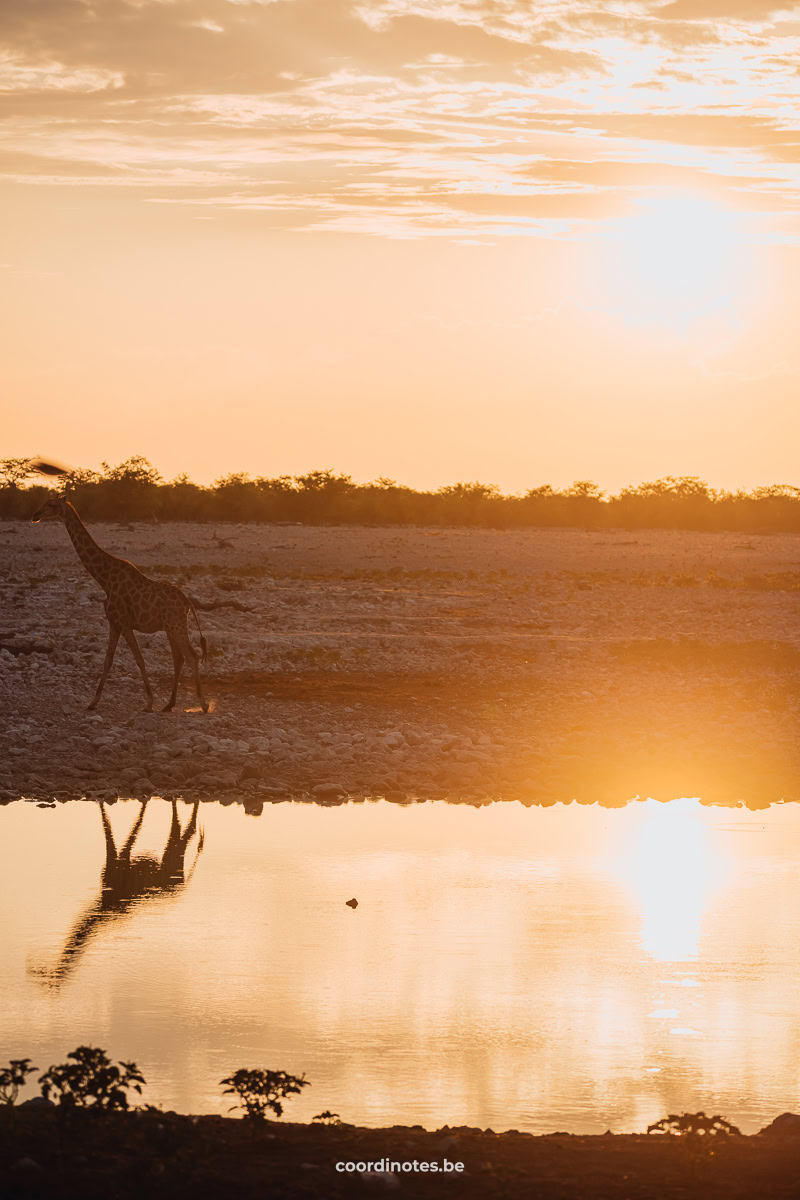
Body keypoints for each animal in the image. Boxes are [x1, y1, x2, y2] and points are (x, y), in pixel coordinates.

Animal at [31, 796, 205, 984]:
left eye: (47, 982)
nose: (33, 968)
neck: (103, 905)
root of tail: (182, 884)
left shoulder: (119, 860)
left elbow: (126, 827)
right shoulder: (117, 860)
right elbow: (115, 823)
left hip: (171, 859)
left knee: (185, 831)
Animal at [32, 494, 211, 710]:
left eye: (51, 504)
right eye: (43, 501)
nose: (35, 515)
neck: (104, 578)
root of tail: (187, 603)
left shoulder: (124, 622)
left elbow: (139, 659)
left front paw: (149, 702)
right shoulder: (114, 623)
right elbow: (107, 660)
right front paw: (93, 702)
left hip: (175, 625)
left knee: (191, 656)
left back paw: (203, 704)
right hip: (171, 627)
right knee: (179, 658)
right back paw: (169, 705)